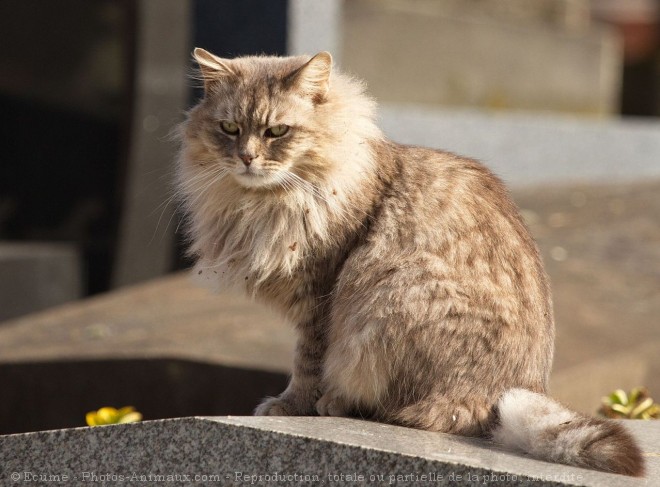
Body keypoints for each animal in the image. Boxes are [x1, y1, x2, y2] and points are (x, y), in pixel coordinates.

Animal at [175, 46, 644, 476]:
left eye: (277, 131)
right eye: (229, 128)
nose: (246, 158)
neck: (263, 204)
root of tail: (515, 390)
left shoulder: (321, 296)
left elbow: (306, 364)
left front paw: (288, 406)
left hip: (393, 299)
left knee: (414, 412)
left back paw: (338, 403)